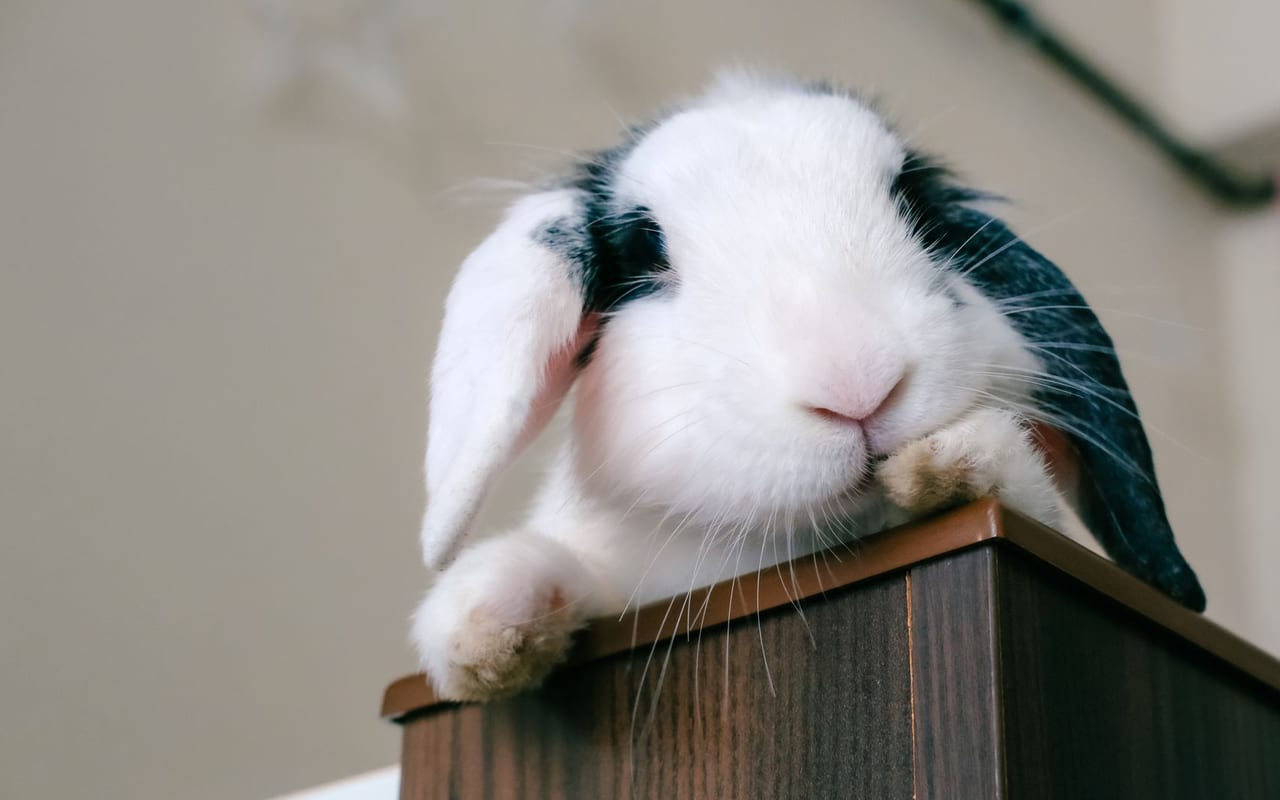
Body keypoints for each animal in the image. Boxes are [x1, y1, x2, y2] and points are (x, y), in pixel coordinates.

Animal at [410, 74, 1206, 702]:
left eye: (914, 203)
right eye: (644, 249)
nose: (858, 384)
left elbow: (1020, 492)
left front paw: (954, 465)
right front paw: (483, 628)